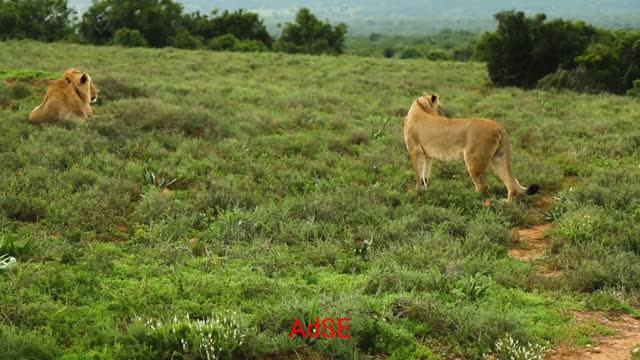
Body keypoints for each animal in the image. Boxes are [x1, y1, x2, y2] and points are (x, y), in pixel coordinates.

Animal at [404, 94, 540, 201]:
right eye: (440, 107)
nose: (444, 116)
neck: (420, 107)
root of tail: (498, 126)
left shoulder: (415, 152)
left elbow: (418, 175)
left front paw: (418, 194)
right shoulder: (427, 156)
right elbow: (424, 176)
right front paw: (425, 192)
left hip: (474, 160)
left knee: (483, 186)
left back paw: (471, 199)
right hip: (498, 158)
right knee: (513, 183)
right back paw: (506, 204)